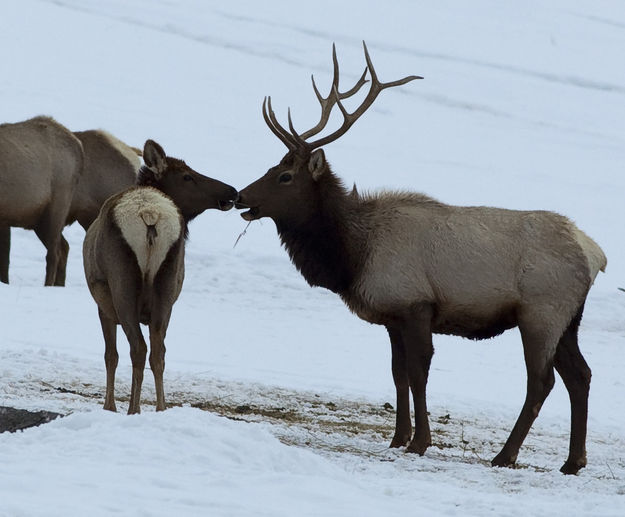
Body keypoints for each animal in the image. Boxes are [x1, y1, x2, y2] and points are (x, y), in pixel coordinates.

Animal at [0, 116, 83, 286]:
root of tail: (79, 147)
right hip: (38, 220)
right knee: (64, 247)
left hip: (57, 206)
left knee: (54, 253)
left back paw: (48, 286)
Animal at [84, 139, 238, 414]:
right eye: (187, 176)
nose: (232, 191)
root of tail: (150, 213)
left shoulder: (103, 304)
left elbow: (110, 355)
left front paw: (109, 407)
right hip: (168, 283)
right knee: (159, 351)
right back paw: (160, 408)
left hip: (122, 284)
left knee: (138, 347)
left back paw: (133, 410)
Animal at [236, 42, 608, 474]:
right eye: (271, 167)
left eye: (285, 177)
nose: (240, 197)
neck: (353, 255)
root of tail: (595, 254)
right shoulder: (392, 316)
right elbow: (398, 374)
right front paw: (398, 438)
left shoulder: (416, 304)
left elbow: (418, 374)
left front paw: (420, 442)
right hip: (569, 319)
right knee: (581, 375)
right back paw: (573, 461)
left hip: (540, 312)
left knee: (542, 381)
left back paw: (505, 455)